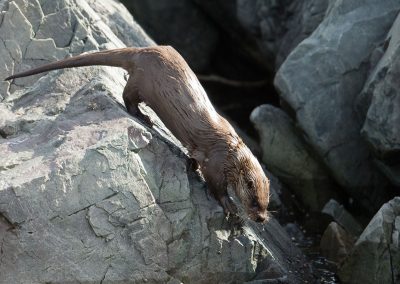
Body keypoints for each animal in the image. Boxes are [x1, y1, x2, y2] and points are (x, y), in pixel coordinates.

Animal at [4, 46, 270, 222]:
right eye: (254, 201)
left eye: (268, 203)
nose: (261, 219)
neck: (232, 152)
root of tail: (145, 50)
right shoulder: (216, 162)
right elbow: (215, 185)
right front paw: (230, 206)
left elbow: (193, 158)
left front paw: (190, 165)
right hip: (142, 81)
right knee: (127, 95)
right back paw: (143, 117)